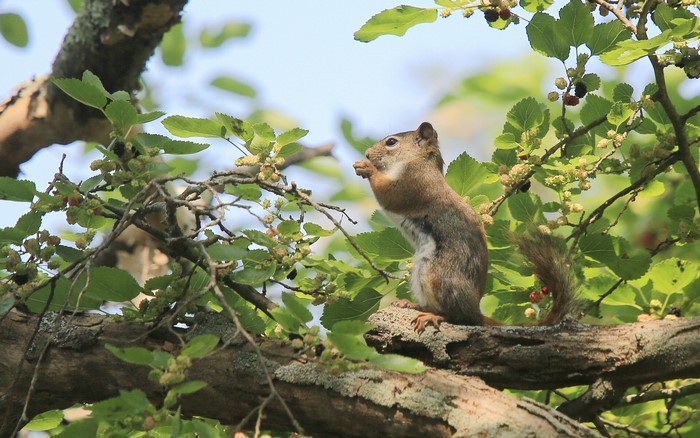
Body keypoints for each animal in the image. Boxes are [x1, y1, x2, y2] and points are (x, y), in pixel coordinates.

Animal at [353, 122, 577, 333]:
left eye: (391, 142)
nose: (367, 154)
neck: (418, 161)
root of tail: (475, 311)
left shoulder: (413, 184)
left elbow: (389, 194)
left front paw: (367, 168)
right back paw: (412, 305)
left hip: (440, 277)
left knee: (459, 317)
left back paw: (434, 316)